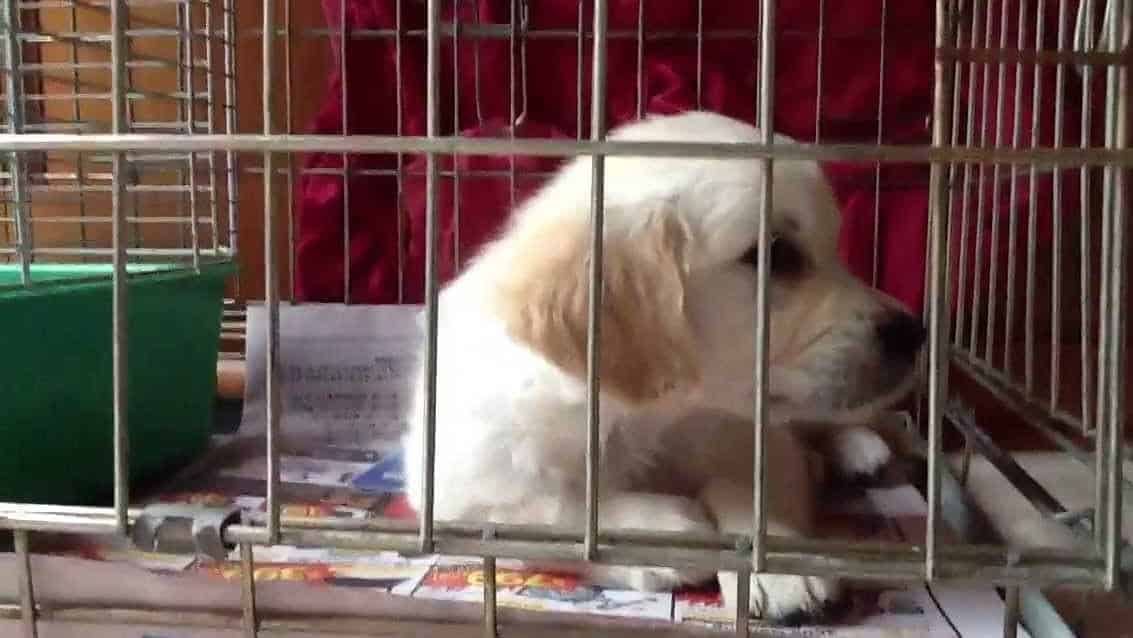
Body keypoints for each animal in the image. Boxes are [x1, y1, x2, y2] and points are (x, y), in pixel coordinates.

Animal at [398, 111, 919, 625]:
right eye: (776, 254)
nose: (916, 332)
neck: (645, 416)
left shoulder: (756, 439)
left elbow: (750, 493)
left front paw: (780, 575)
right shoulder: (453, 481)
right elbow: (541, 509)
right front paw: (666, 533)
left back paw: (861, 448)